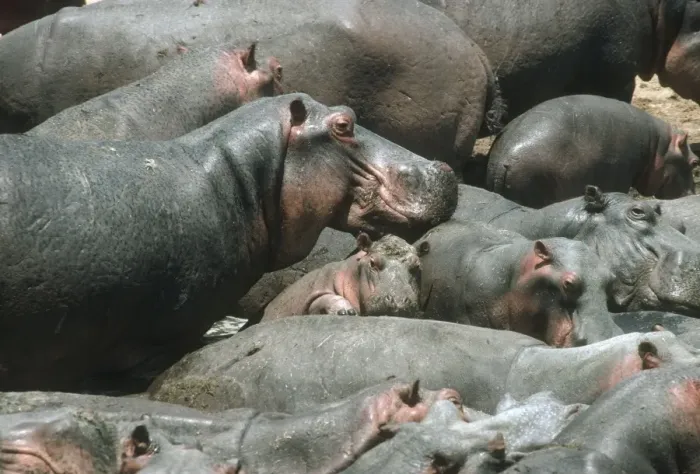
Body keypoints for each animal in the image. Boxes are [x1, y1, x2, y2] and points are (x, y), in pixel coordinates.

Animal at [262, 233, 421, 321]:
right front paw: (346, 311)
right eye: (372, 262)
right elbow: (322, 299)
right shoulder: (318, 288)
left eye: (417, 266)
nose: (398, 301)